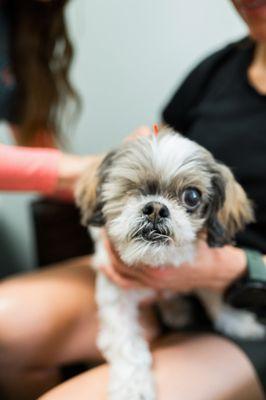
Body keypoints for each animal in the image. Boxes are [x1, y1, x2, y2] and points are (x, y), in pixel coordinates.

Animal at [75, 128, 266, 400]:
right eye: (132, 188)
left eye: (192, 196)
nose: (155, 208)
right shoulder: (115, 295)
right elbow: (126, 344)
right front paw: (132, 385)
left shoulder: (200, 272)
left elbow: (216, 299)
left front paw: (238, 323)